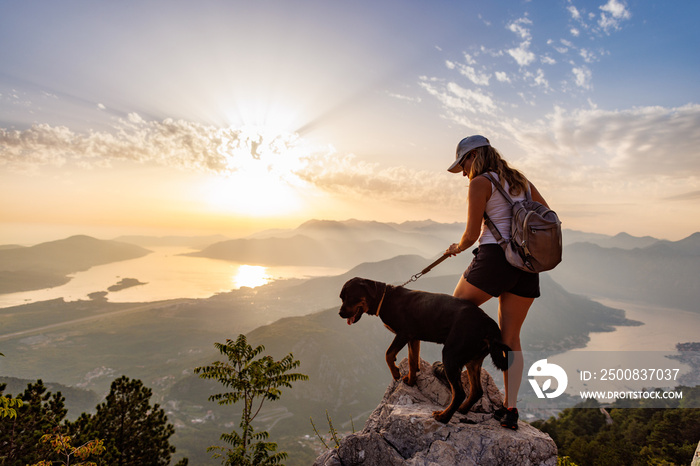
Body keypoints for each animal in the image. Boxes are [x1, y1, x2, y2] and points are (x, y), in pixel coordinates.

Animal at [340, 278, 508, 424]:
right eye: (341, 297)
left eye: (350, 297)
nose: (340, 313)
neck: (386, 298)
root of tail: (488, 323)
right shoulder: (413, 338)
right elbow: (413, 360)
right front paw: (411, 380)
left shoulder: (404, 333)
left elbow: (388, 354)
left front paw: (396, 372)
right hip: (473, 361)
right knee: (477, 391)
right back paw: (463, 409)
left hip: (451, 355)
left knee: (459, 393)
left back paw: (443, 417)